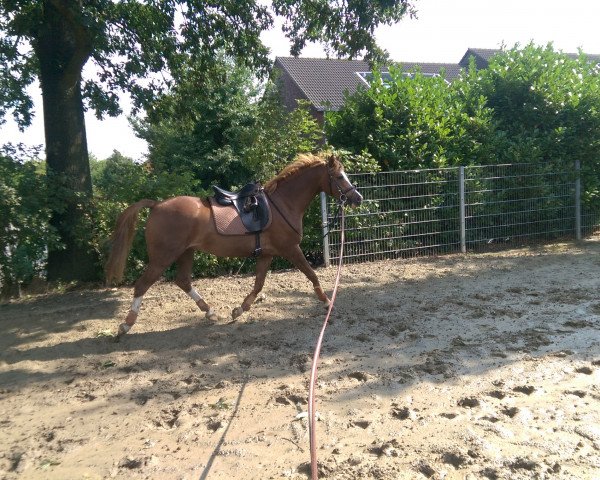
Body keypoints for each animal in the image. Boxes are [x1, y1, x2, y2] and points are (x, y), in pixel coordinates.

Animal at [105, 152, 364, 336]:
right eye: (339, 177)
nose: (357, 198)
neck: (282, 204)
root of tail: (157, 205)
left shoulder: (266, 254)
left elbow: (258, 285)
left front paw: (239, 309)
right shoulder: (291, 250)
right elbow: (312, 275)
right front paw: (327, 301)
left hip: (186, 253)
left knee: (183, 281)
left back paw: (210, 312)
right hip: (163, 257)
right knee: (142, 285)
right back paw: (125, 325)